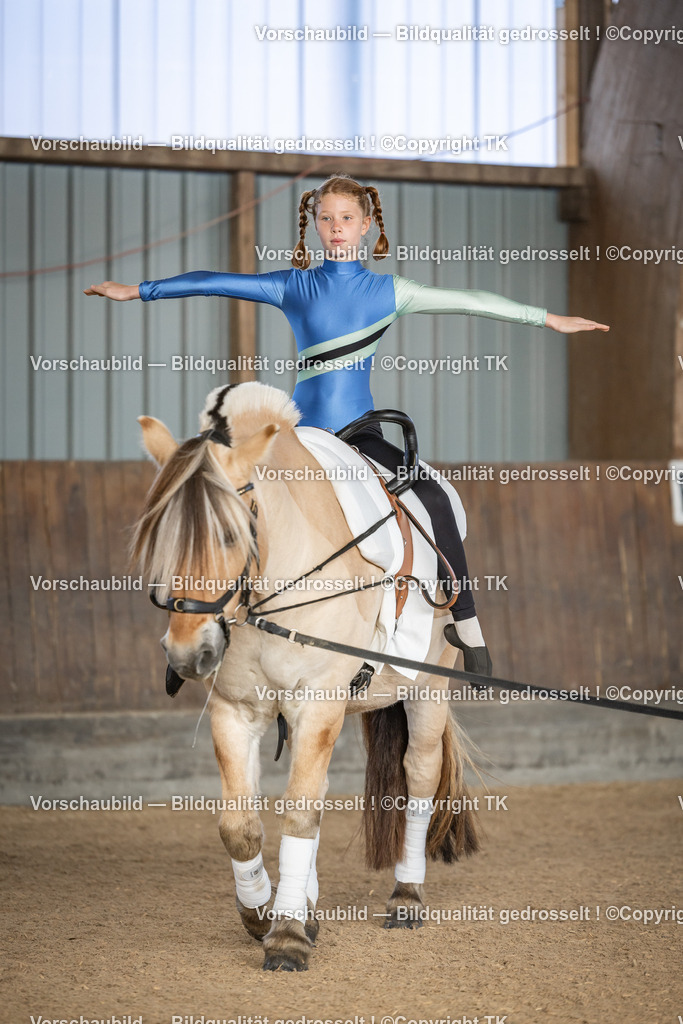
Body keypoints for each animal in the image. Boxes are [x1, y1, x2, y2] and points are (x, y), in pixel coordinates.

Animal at [132, 381, 480, 972]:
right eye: (162, 536)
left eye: (231, 535)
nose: (186, 654)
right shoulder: (237, 710)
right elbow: (239, 826)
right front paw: (262, 912)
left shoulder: (319, 704)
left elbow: (300, 815)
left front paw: (288, 936)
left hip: (427, 689)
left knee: (419, 775)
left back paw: (406, 896)